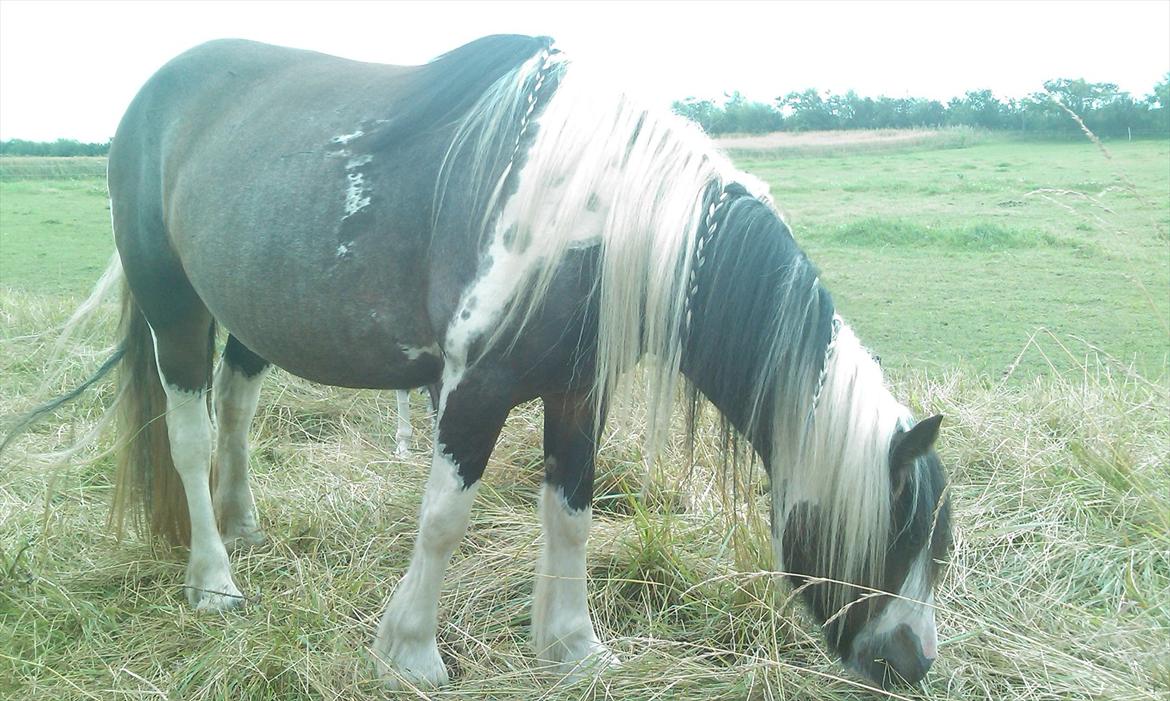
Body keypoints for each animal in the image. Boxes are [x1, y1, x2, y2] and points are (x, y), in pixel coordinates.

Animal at [6, 34, 950, 692]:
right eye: (896, 536)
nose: (912, 664)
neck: (596, 211)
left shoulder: (579, 393)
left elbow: (571, 512)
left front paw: (574, 647)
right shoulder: (475, 388)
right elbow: (443, 518)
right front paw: (410, 653)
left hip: (251, 313)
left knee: (236, 410)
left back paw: (244, 524)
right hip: (172, 305)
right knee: (192, 436)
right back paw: (214, 580)